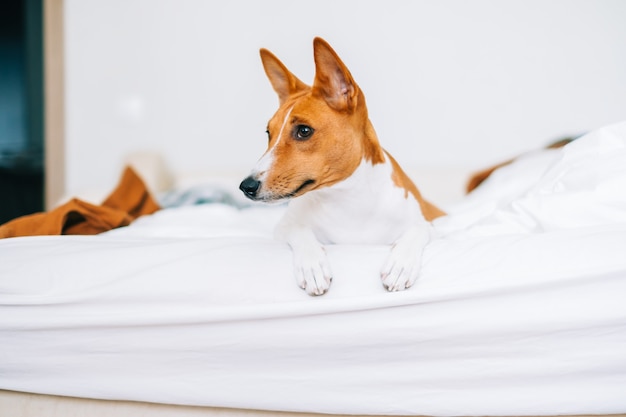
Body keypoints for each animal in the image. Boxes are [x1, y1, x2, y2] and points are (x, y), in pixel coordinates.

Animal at [239, 37, 444, 294]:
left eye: (304, 131)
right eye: (269, 133)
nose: (246, 186)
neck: (347, 201)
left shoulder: (431, 227)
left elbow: (417, 230)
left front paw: (401, 265)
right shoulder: (283, 228)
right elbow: (300, 230)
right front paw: (312, 265)